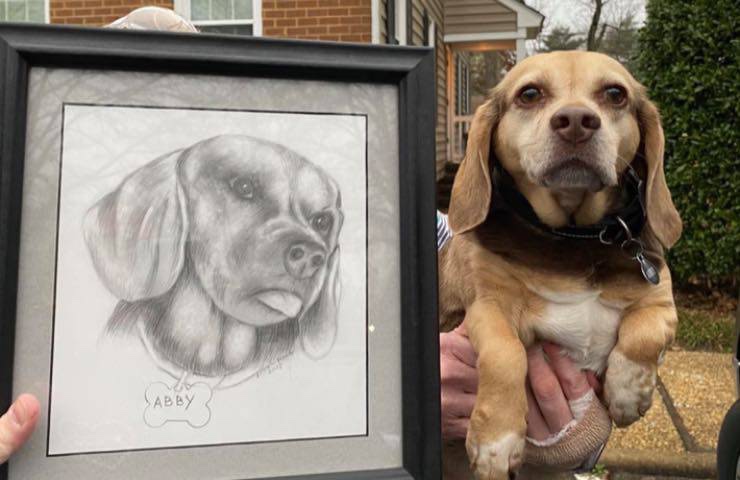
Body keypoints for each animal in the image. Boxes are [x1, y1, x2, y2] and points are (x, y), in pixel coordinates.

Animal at [440, 50, 684, 478]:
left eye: (615, 94)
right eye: (530, 94)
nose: (576, 122)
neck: (574, 238)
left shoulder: (661, 300)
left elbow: (645, 334)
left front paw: (628, 392)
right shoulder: (488, 308)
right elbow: (506, 354)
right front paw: (496, 441)